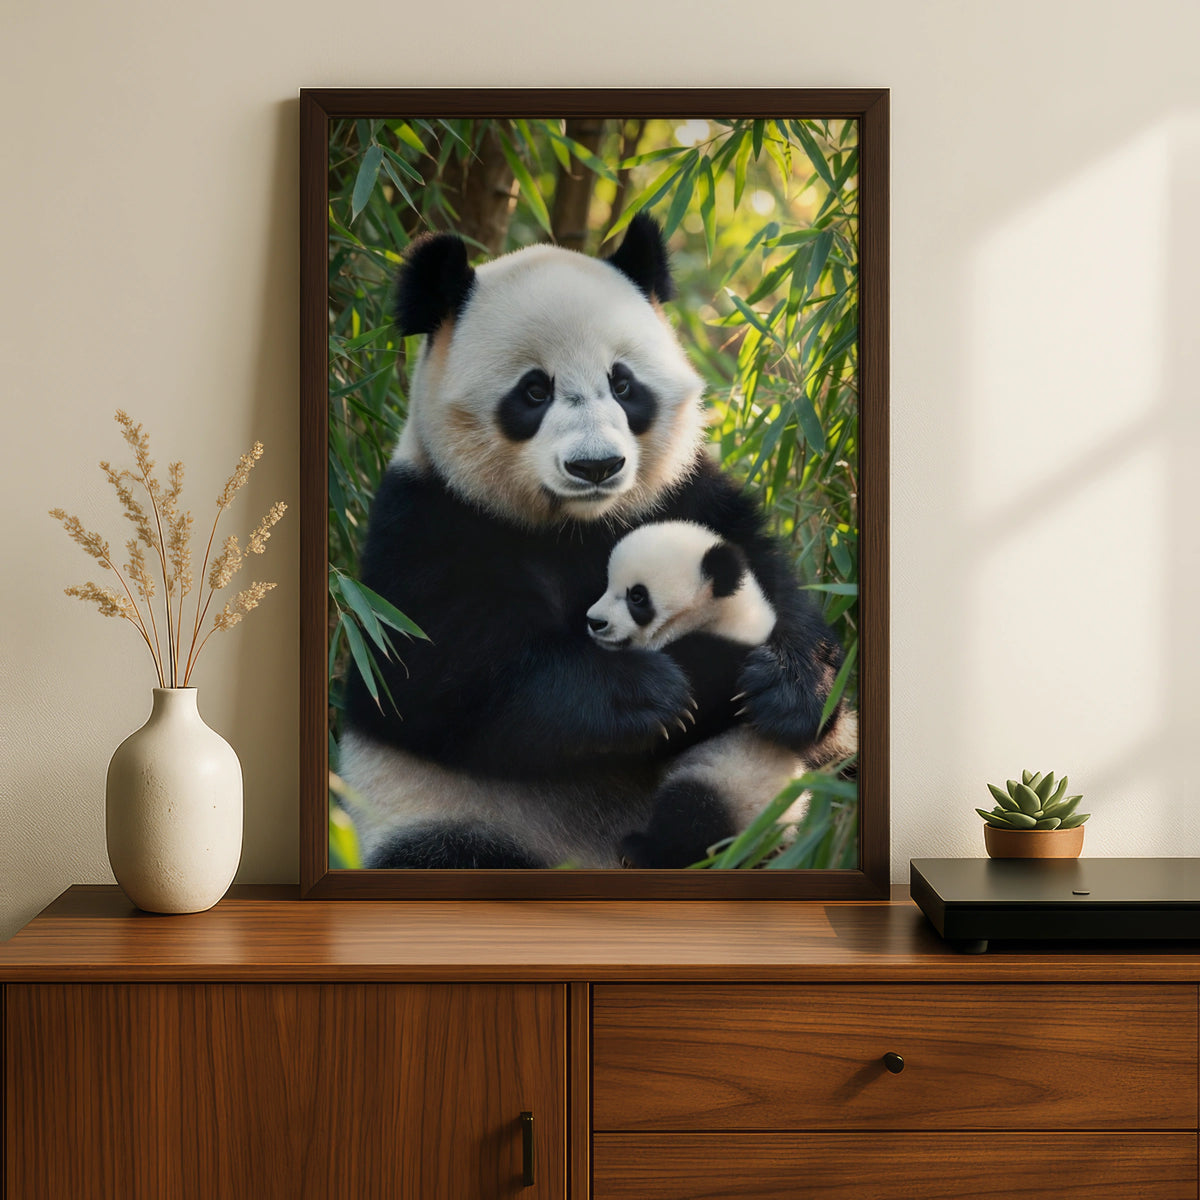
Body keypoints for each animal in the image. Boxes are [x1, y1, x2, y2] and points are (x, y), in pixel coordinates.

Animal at [586, 519, 857, 868]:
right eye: (607, 584)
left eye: (637, 596)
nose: (595, 621)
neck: (727, 613)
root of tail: (770, 844)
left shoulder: (721, 659)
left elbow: (678, 716)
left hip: (731, 785)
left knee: (692, 817)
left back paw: (642, 850)